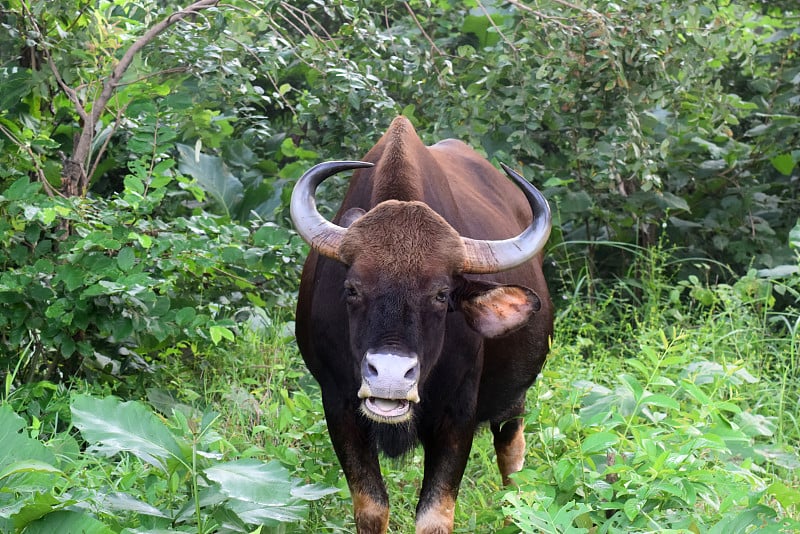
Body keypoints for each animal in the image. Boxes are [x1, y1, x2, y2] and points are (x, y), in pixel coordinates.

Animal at [290, 117, 552, 534]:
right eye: (351, 288)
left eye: (442, 294)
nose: (390, 376)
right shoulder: (338, 405)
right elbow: (371, 507)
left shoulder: (457, 414)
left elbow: (435, 516)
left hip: (513, 400)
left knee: (512, 459)